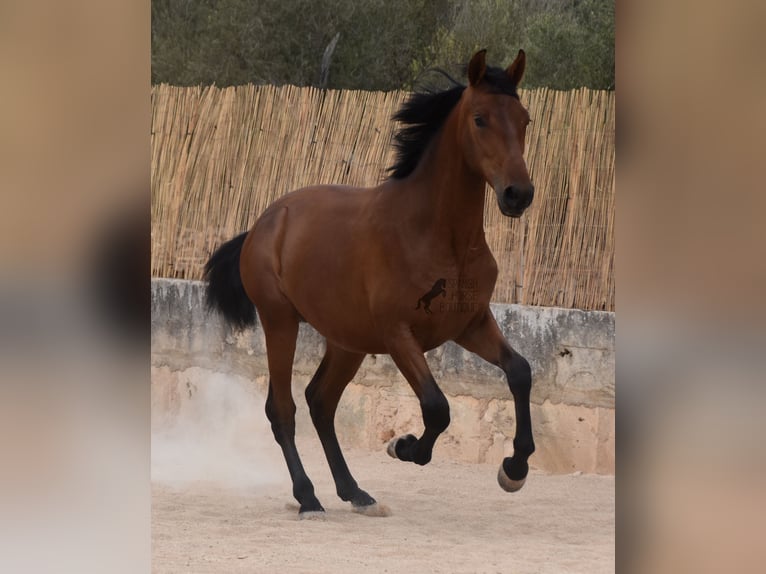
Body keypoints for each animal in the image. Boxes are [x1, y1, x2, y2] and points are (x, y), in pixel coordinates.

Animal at [207, 48, 536, 516]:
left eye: (524, 119)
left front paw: (514, 469)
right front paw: (404, 446)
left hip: (348, 341)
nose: (518, 194)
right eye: (479, 118)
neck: (440, 236)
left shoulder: (470, 325)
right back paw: (308, 497)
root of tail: (265, 222)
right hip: (280, 322)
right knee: (283, 408)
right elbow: (437, 407)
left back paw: (355, 492)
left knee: (320, 402)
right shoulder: (398, 334)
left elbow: (520, 372)